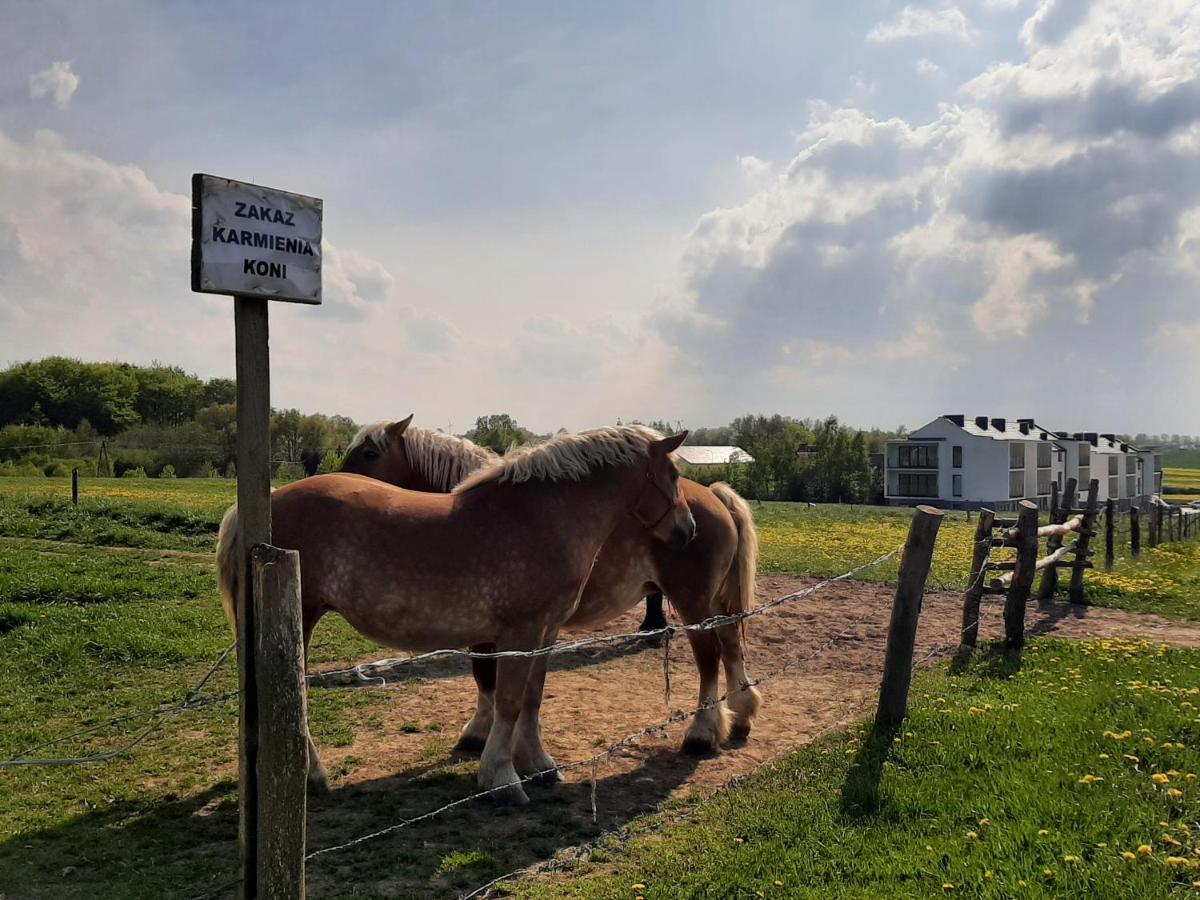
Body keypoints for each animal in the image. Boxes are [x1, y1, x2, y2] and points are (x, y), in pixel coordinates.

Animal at [218, 427, 696, 806]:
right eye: (674, 476)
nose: (688, 530)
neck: (542, 516)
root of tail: (262, 510)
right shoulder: (519, 632)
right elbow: (507, 700)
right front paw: (501, 779)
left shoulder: (546, 632)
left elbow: (532, 697)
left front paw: (539, 765)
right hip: (300, 617)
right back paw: (312, 775)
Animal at [343, 420, 763, 758]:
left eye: (368, 453)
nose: (342, 482)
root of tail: (713, 495)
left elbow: (487, 677)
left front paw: (480, 733)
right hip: (711, 601)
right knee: (730, 644)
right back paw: (741, 712)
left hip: (692, 600)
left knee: (709, 656)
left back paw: (702, 733)